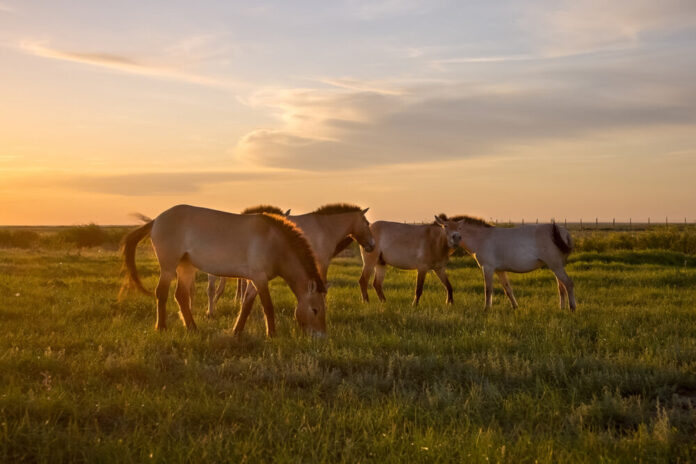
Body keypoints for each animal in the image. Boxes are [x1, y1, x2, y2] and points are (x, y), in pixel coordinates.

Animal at [120, 204, 327, 337]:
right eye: (315, 310)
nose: (320, 336)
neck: (274, 242)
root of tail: (156, 220)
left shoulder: (254, 280)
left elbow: (246, 305)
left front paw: (237, 331)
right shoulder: (259, 278)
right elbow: (268, 306)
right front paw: (272, 335)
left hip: (186, 267)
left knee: (181, 296)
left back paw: (192, 328)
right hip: (168, 268)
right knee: (161, 293)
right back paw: (162, 327)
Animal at [436, 214, 576, 311]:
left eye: (459, 227)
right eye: (445, 226)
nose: (456, 238)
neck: (482, 238)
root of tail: (563, 232)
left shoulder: (488, 268)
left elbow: (488, 289)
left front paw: (486, 309)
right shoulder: (499, 270)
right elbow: (508, 289)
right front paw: (515, 307)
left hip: (556, 266)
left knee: (568, 283)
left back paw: (572, 308)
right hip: (555, 267)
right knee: (561, 287)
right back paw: (562, 308)